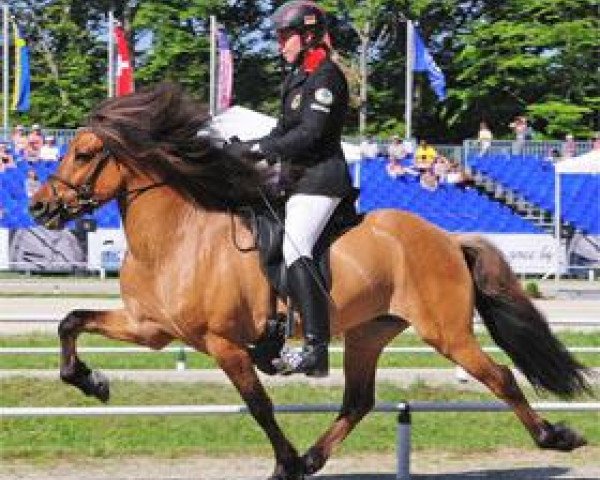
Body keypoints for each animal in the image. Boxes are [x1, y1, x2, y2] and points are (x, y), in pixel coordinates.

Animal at [29, 84, 592, 478]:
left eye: (84, 154)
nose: (38, 207)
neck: (176, 237)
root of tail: (447, 238)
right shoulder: (151, 328)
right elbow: (71, 321)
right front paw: (90, 381)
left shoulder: (223, 343)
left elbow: (259, 405)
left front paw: (285, 463)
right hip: (370, 331)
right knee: (358, 400)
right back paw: (316, 458)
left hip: (446, 331)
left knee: (500, 377)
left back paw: (556, 436)